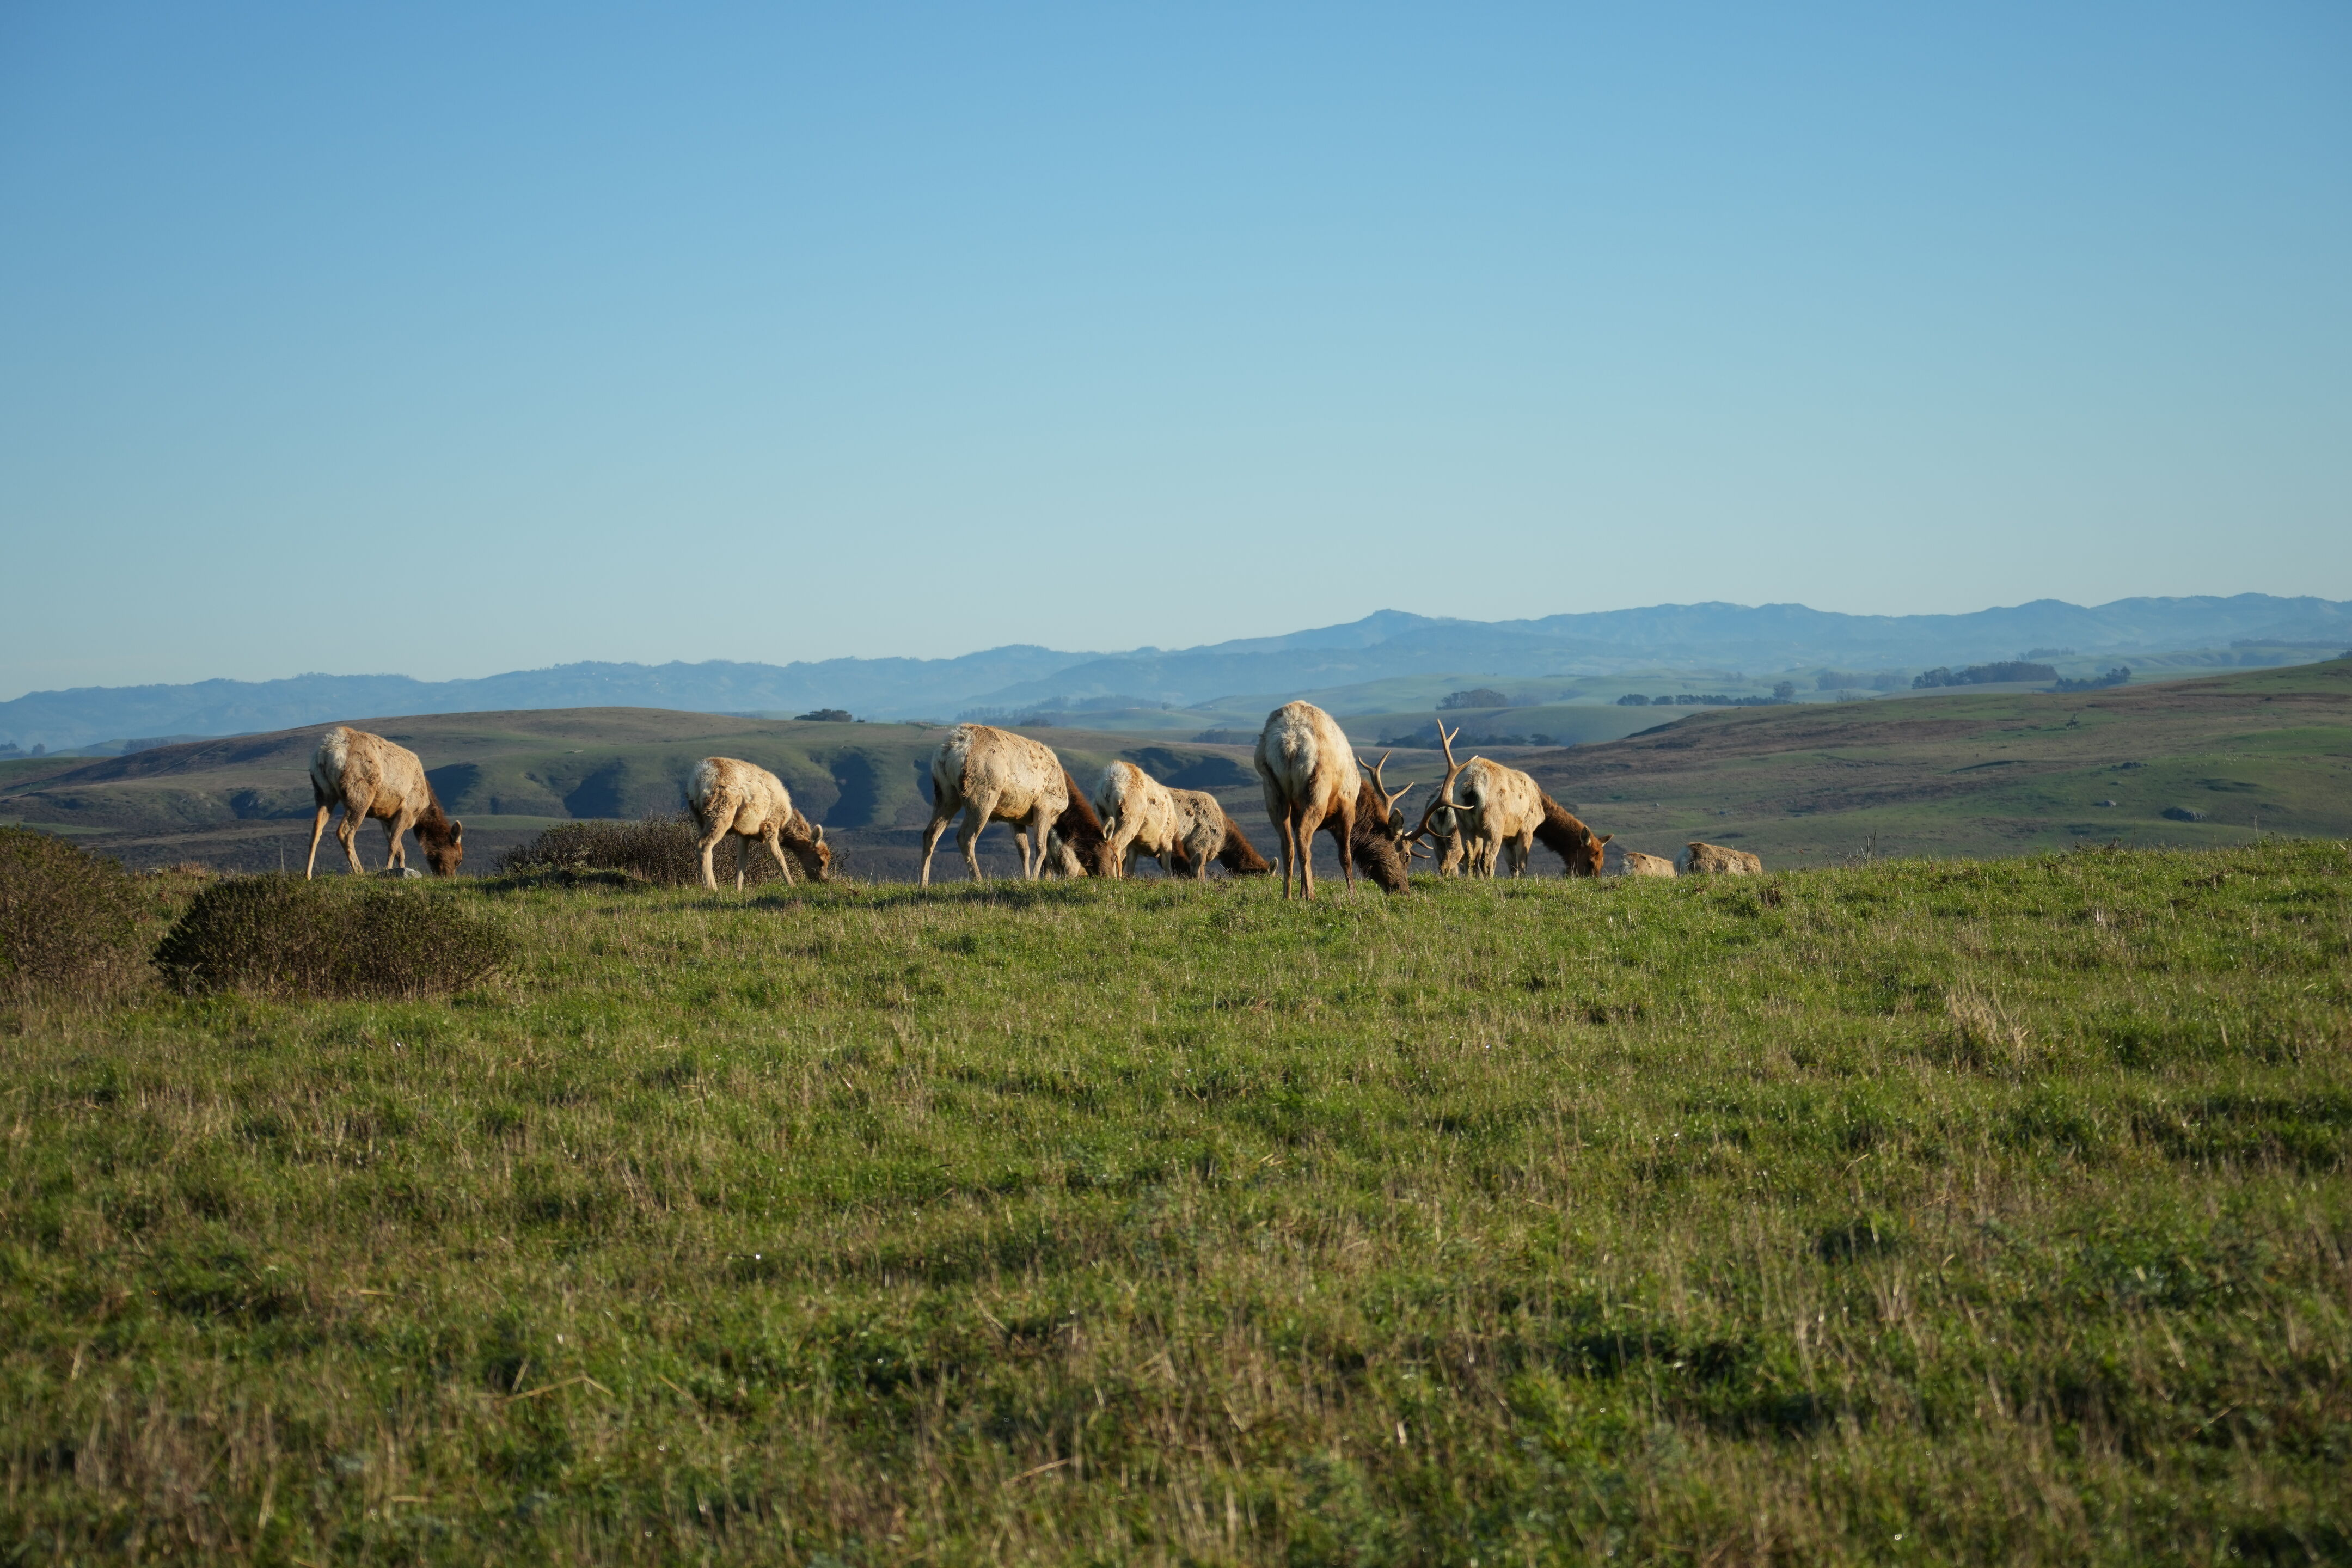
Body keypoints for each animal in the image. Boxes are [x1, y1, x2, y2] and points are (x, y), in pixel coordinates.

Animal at [305, 726, 463, 878]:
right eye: (459, 860)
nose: (449, 876)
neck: (423, 812)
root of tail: (327, 751)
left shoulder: (386, 819)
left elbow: (400, 850)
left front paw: (401, 868)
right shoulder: (407, 811)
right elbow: (394, 845)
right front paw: (388, 869)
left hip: (323, 791)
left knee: (317, 828)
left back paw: (308, 875)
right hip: (360, 793)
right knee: (345, 831)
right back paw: (359, 871)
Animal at [687, 757, 833, 890]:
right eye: (821, 860)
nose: (825, 880)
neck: (784, 825)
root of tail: (698, 779)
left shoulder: (744, 833)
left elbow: (742, 860)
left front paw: (738, 890)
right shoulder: (770, 825)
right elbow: (779, 857)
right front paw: (792, 885)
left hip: (698, 817)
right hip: (721, 811)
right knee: (703, 844)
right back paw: (711, 888)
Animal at [920, 724, 1115, 884]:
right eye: (1114, 856)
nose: (1111, 878)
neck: (1064, 815)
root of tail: (952, 747)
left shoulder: (1016, 817)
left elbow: (1024, 850)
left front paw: (1028, 878)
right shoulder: (1045, 808)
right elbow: (1041, 849)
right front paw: (1035, 879)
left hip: (945, 792)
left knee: (930, 833)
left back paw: (924, 883)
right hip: (983, 794)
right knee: (965, 837)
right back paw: (978, 880)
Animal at [1251, 701, 1411, 899]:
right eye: (1406, 855)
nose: (1404, 890)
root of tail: (1290, 742)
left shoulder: (1296, 813)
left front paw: (1301, 892)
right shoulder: (1347, 807)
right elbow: (1346, 856)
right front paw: (1353, 895)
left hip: (1272, 787)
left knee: (1288, 843)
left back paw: (1288, 895)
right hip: (1318, 784)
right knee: (1303, 837)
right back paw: (1311, 895)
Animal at [1416, 724, 1610, 878]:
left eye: (1602, 860)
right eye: (1591, 860)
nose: (1594, 879)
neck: (1541, 807)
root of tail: (1471, 785)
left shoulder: (1508, 837)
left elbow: (1512, 867)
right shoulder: (1527, 829)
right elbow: (1522, 866)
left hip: (1461, 827)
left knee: (1469, 860)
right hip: (1491, 823)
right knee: (1483, 861)